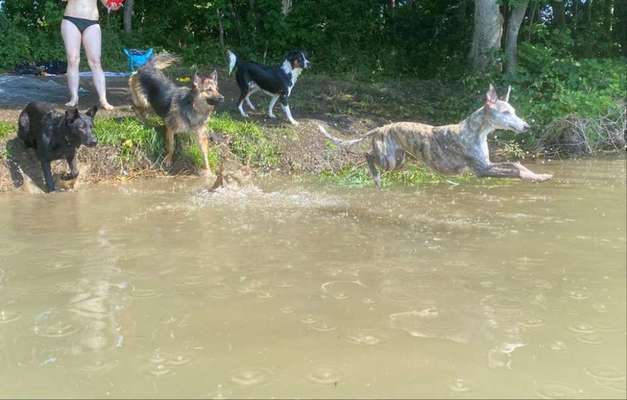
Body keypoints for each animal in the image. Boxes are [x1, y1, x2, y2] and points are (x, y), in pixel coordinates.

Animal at [322, 84, 552, 188]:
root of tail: (380, 128)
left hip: (399, 160)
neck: (475, 130)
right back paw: (377, 178)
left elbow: (516, 164)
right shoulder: (481, 169)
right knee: (367, 155)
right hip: (388, 160)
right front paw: (535, 177)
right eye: (506, 112)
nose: (527, 126)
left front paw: (541, 175)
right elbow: (515, 169)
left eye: (514, 111)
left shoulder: (487, 164)